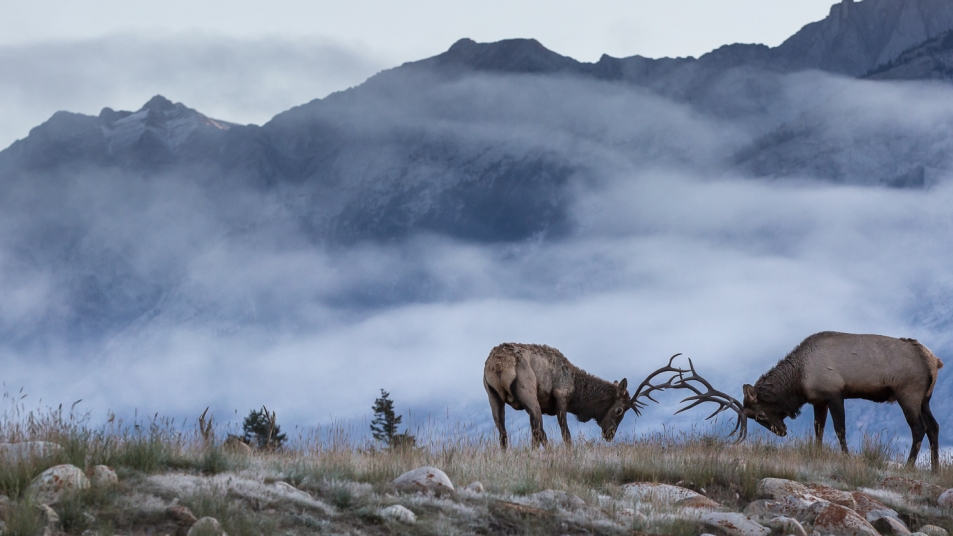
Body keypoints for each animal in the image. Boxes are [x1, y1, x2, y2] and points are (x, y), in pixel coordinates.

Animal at [484, 344, 640, 448]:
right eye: (619, 410)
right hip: (528, 394)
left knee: (504, 433)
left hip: (493, 396)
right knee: (539, 431)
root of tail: (498, 365)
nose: (610, 434)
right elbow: (565, 434)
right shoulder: (561, 396)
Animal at [740, 332, 940, 472]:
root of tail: (934, 361)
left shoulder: (835, 393)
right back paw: (935, 469)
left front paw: (846, 456)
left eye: (760, 414)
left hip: (908, 393)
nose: (781, 431)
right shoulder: (819, 401)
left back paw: (909, 465)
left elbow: (839, 428)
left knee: (919, 428)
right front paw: (817, 453)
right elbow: (818, 429)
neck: (799, 380)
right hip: (925, 399)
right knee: (933, 426)